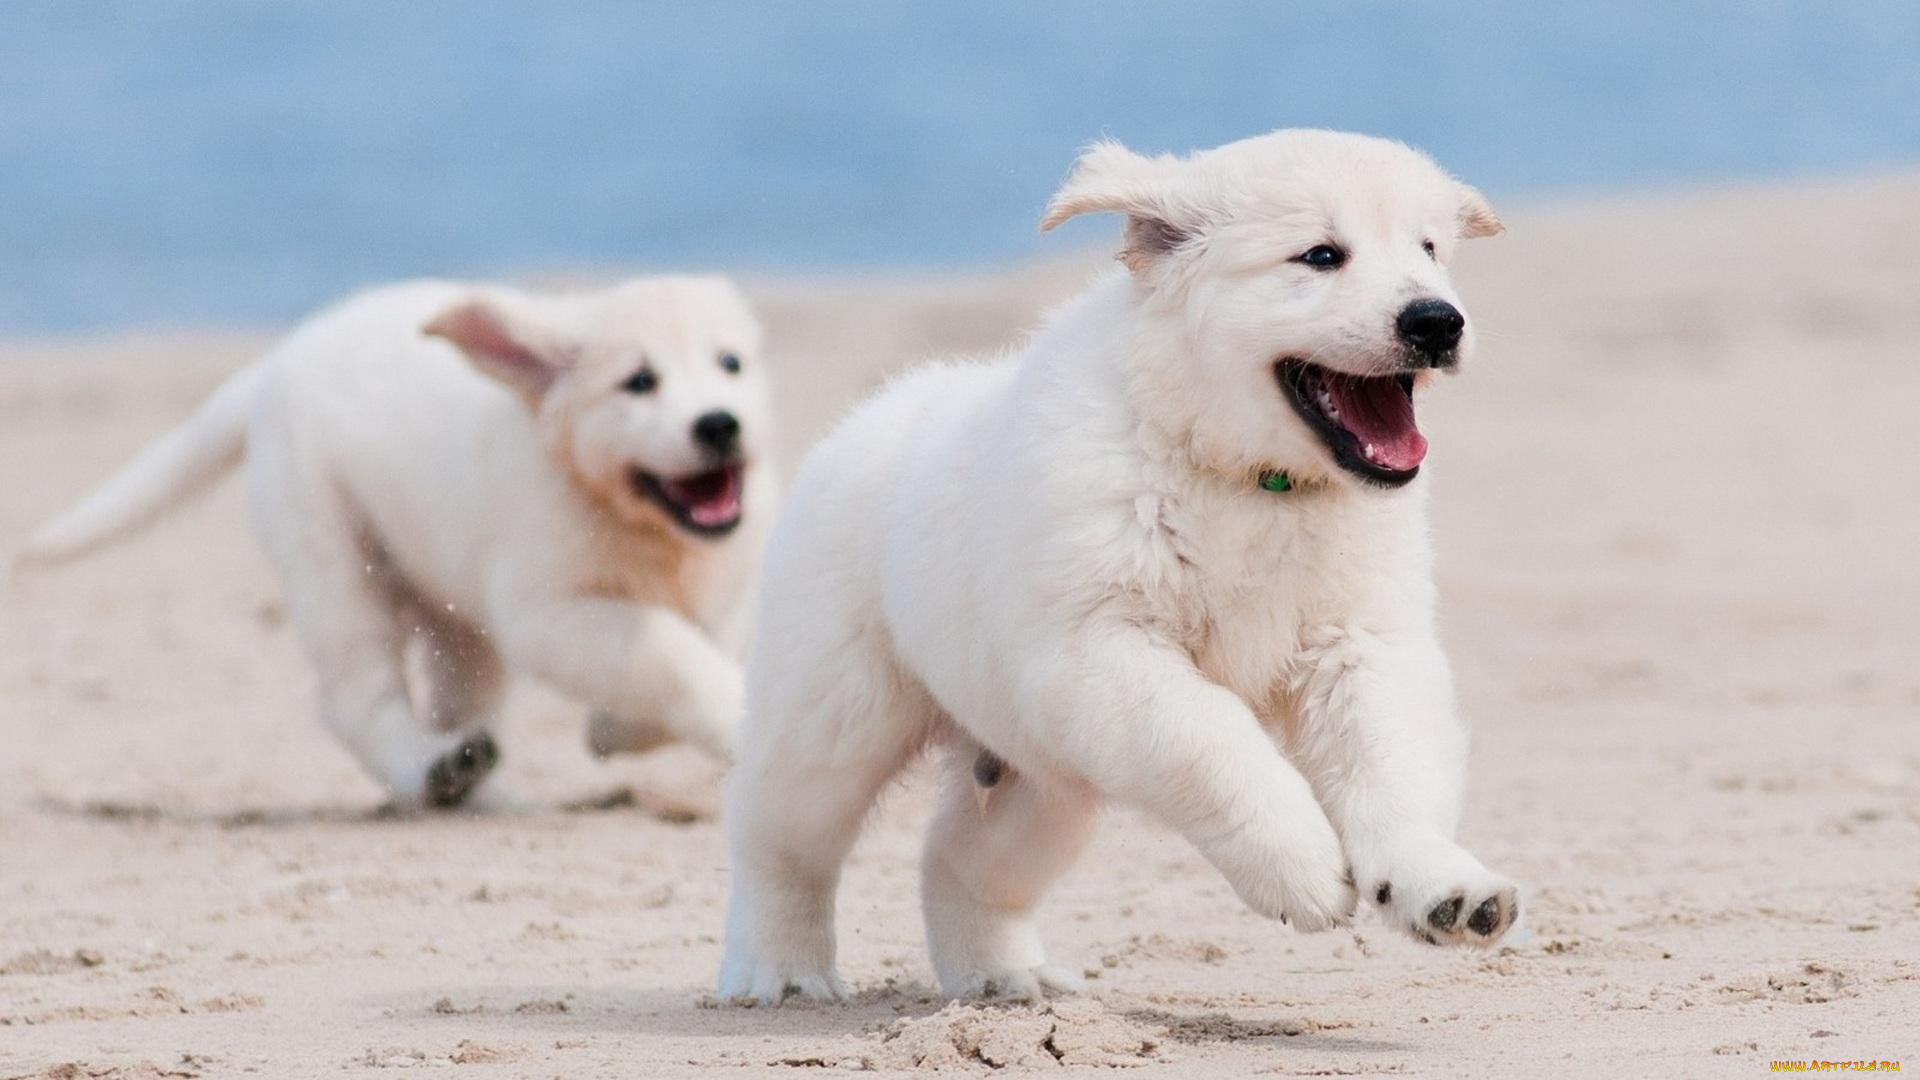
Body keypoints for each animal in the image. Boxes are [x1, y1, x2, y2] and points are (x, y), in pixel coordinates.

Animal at [20, 272, 771, 803]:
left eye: (731, 364)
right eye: (639, 382)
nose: (720, 423)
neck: (637, 522)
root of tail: (281, 359)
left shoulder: (735, 584)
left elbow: (703, 644)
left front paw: (614, 729)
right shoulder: (549, 610)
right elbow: (671, 652)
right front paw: (720, 714)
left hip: (455, 615)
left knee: (458, 697)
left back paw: (474, 782)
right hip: (330, 555)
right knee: (356, 695)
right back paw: (428, 769)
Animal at [721, 127, 1512, 999]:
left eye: (1430, 250)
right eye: (1320, 255)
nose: (1438, 321)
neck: (1248, 481)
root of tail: (864, 418)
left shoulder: (1361, 643)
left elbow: (1391, 760)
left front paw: (1441, 886)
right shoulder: (1099, 647)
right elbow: (1214, 740)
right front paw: (1300, 867)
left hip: (1040, 777)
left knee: (960, 860)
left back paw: (1004, 980)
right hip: (836, 713)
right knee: (780, 838)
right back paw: (781, 970)